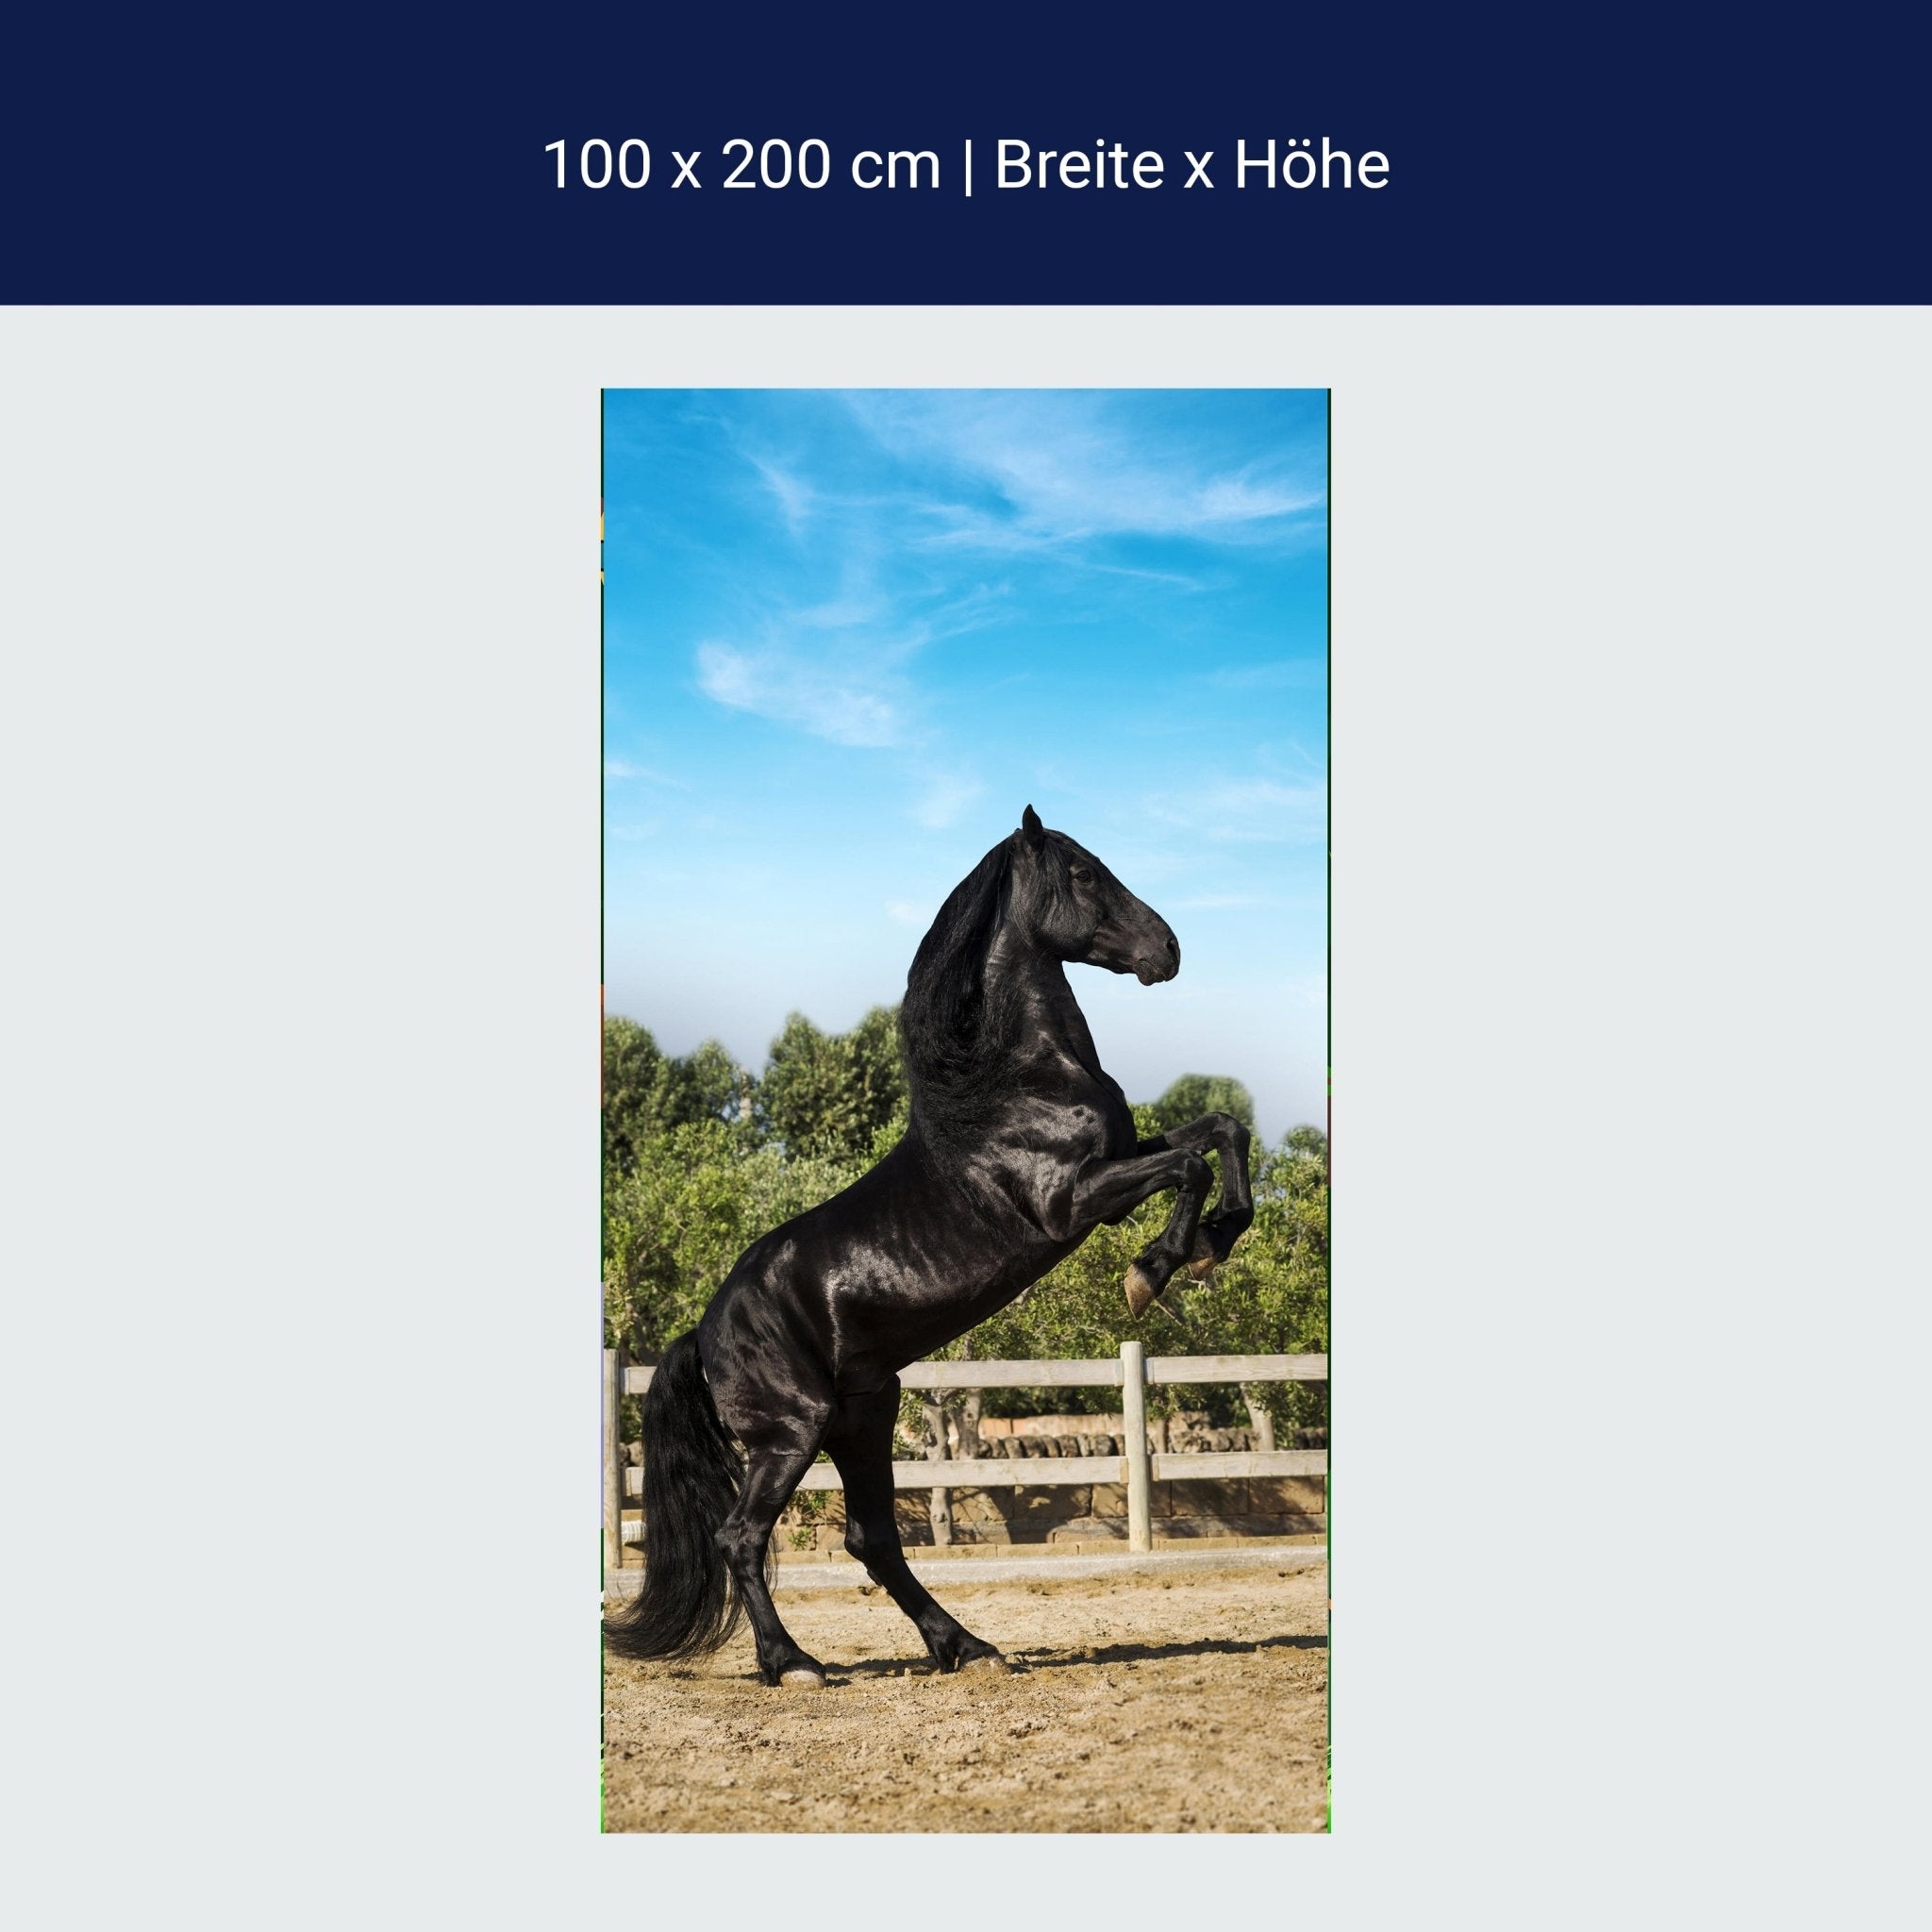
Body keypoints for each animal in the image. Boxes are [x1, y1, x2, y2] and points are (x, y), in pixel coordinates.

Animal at [604, 805, 1254, 1686]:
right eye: (1084, 872)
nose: (1169, 950)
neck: (1016, 1082)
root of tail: (702, 1334)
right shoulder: (1076, 1202)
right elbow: (1189, 1163)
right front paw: (1150, 1273)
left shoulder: (1119, 1164)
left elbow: (1221, 1130)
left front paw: (1218, 1239)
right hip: (795, 1429)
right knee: (742, 1537)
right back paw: (795, 1664)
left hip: (864, 1417)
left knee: (872, 1540)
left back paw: (967, 1647)